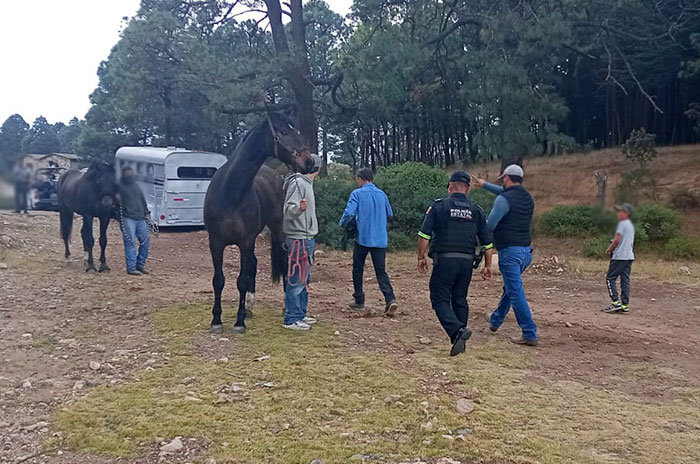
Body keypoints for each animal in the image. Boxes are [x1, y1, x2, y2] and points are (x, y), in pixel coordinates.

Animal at [204, 111, 315, 334]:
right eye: (284, 131)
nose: (309, 161)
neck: (230, 193)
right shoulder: (216, 242)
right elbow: (218, 280)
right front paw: (217, 320)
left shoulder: (245, 242)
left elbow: (241, 281)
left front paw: (238, 322)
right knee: (253, 265)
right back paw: (249, 306)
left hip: (276, 232)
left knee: (284, 263)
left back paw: (283, 306)